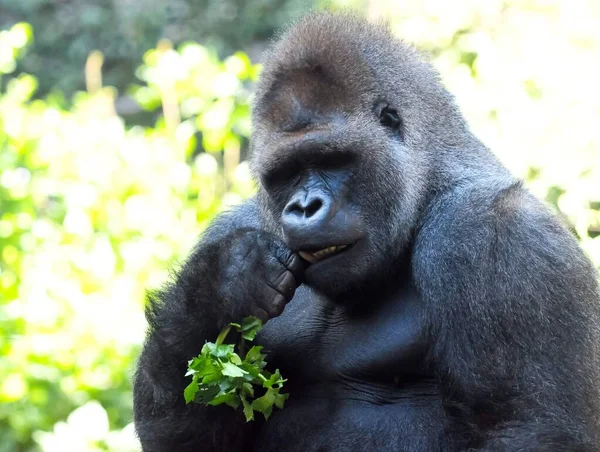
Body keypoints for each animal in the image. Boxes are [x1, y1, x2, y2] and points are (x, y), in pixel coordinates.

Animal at [134, 12, 600, 450]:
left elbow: (528, 427)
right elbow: (186, 433)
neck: (425, 189)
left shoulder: (498, 236)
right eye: (286, 172)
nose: (303, 208)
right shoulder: (232, 225)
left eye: (331, 159)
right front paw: (221, 283)